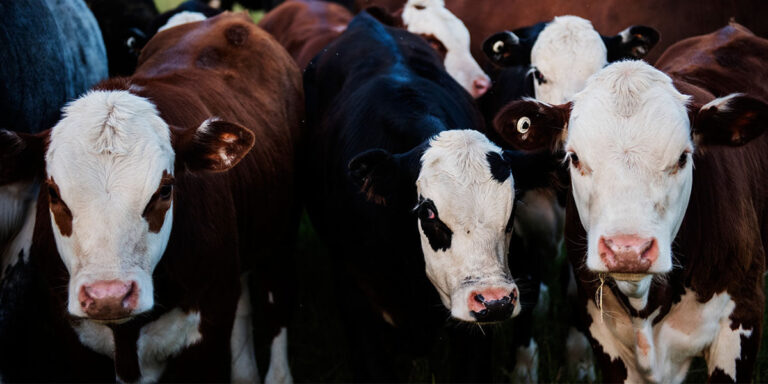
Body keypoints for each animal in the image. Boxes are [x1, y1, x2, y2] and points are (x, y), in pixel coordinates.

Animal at [0, 12, 304, 384]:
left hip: (283, 233)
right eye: (53, 193)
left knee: (277, 302)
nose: (109, 296)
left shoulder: (209, 333)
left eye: (164, 190)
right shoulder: (72, 339)